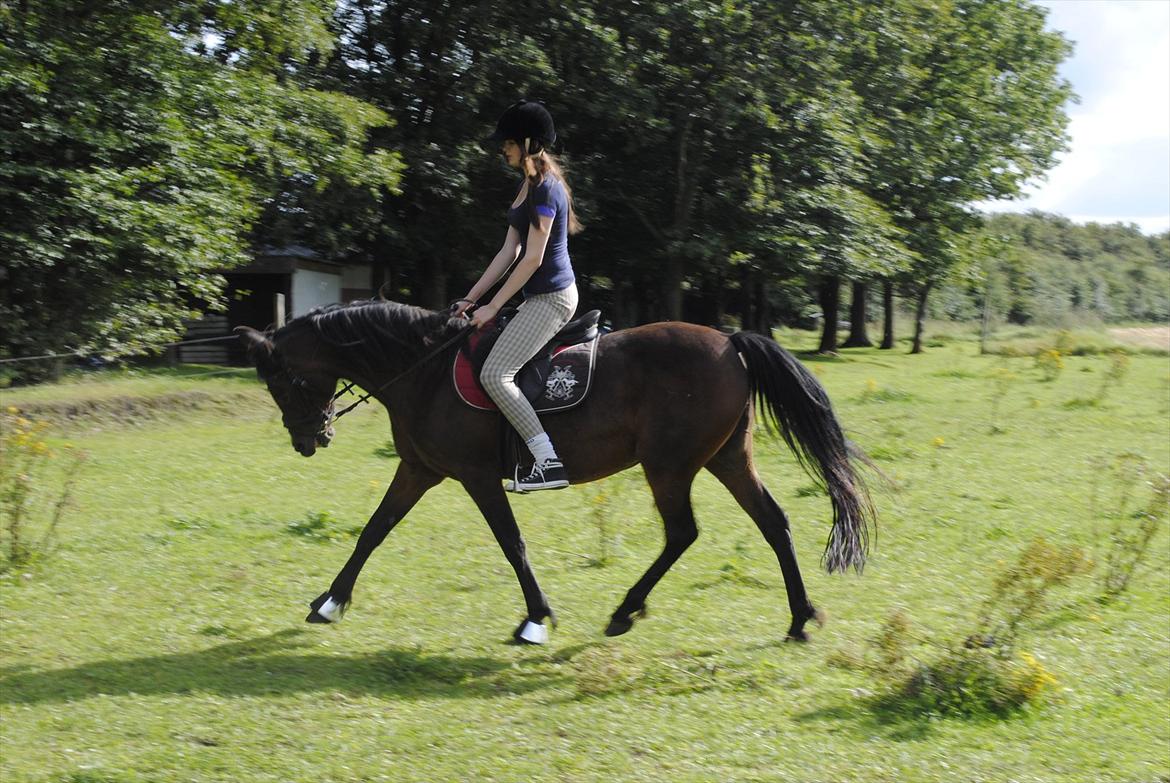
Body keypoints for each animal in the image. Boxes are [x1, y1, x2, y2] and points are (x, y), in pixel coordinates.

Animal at [237, 297, 875, 641]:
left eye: (282, 382)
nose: (308, 440)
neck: (423, 370)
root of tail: (730, 342)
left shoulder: (474, 476)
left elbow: (511, 543)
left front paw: (536, 619)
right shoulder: (418, 469)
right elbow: (374, 530)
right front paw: (329, 602)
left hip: (669, 465)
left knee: (682, 532)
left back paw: (624, 610)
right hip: (725, 457)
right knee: (773, 523)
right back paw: (799, 618)